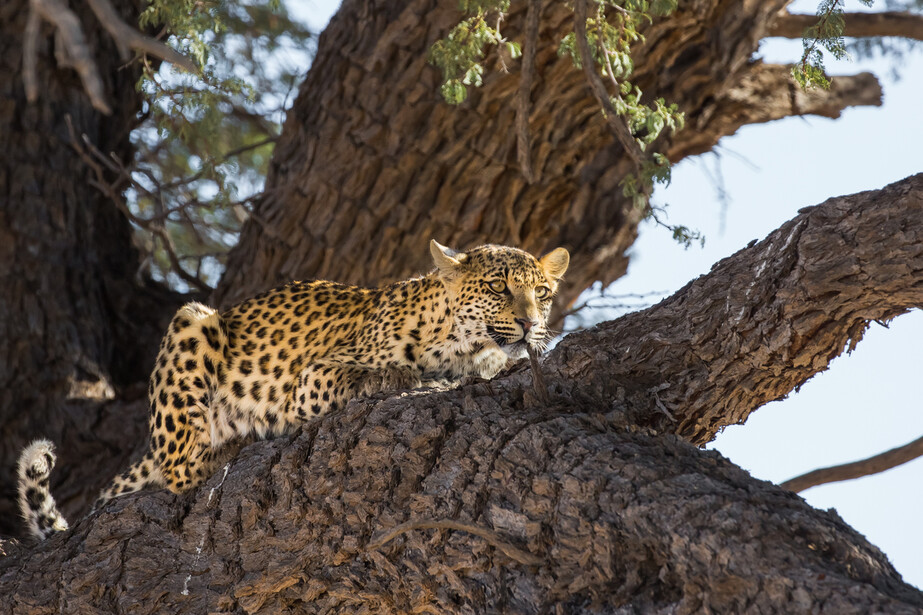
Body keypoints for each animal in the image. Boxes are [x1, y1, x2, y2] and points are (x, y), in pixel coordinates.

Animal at [18, 239, 572, 540]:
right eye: (498, 287)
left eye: (542, 292)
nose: (530, 323)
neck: (462, 343)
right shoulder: (308, 381)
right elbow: (360, 375)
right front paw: (402, 377)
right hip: (193, 322)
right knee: (177, 467)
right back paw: (232, 445)